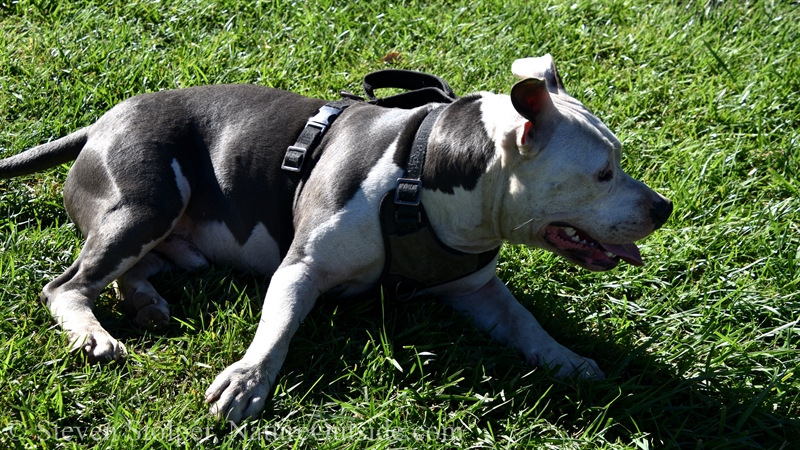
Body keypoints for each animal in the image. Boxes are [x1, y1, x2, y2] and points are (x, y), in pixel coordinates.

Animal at [1, 54, 668, 424]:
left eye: (618, 160)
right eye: (602, 173)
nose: (663, 208)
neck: (424, 173)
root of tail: (100, 123)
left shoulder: (478, 290)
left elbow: (527, 324)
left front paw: (566, 358)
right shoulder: (300, 269)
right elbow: (276, 330)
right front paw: (247, 380)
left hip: (167, 238)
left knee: (130, 272)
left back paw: (145, 303)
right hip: (144, 204)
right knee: (67, 285)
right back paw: (94, 334)